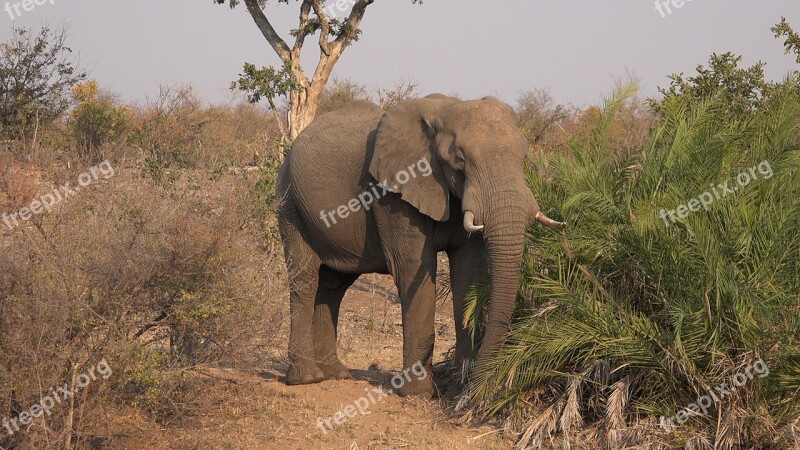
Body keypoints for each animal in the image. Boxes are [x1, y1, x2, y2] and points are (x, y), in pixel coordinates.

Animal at [278, 94, 564, 398]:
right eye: (460, 159)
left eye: (525, 157)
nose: (479, 385)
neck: (445, 110)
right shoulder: (392, 193)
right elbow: (414, 268)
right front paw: (419, 393)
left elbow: (468, 274)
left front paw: (459, 385)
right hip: (290, 203)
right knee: (305, 278)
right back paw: (306, 378)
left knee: (334, 285)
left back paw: (336, 374)